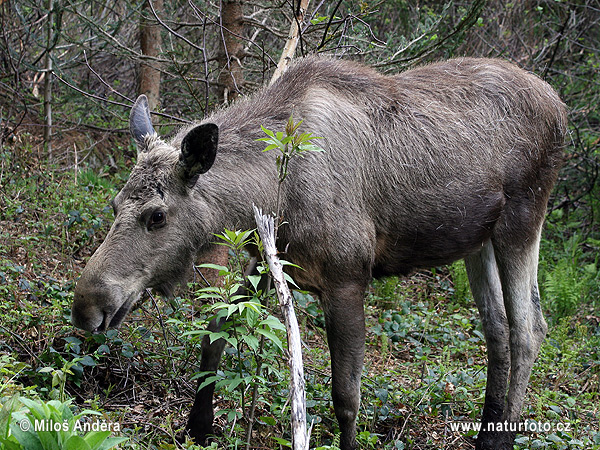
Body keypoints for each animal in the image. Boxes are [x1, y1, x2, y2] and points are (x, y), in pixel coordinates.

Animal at [71, 57, 568, 450]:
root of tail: (561, 108)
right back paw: (486, 432)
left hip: (523, 217)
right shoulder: (262, 258)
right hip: (477, 240)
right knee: (497, 328)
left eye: (156, 216)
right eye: (114, 204)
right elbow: (213, 343)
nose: (86, 307)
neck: (273, 192)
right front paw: (198, 428)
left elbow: (346, 398)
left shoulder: (347, 278)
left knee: (530, 328)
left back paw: (505, 437)